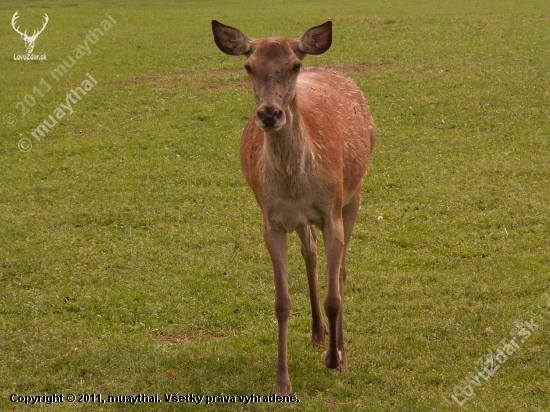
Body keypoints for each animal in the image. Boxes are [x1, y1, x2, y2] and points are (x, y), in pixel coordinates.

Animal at [213, 20, 378, 394]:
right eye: (248, 67)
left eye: (294, 66)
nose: (270, 113)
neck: (294, 185)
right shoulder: (271, 222)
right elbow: (281, 302)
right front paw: (282, 381)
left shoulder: (332, 210)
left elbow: (335, 295)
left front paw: (336, 359)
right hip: (301, 220)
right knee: (310, 254)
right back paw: (318, 333)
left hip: (354, 195)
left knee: (341, 270)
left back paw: (336, 344)